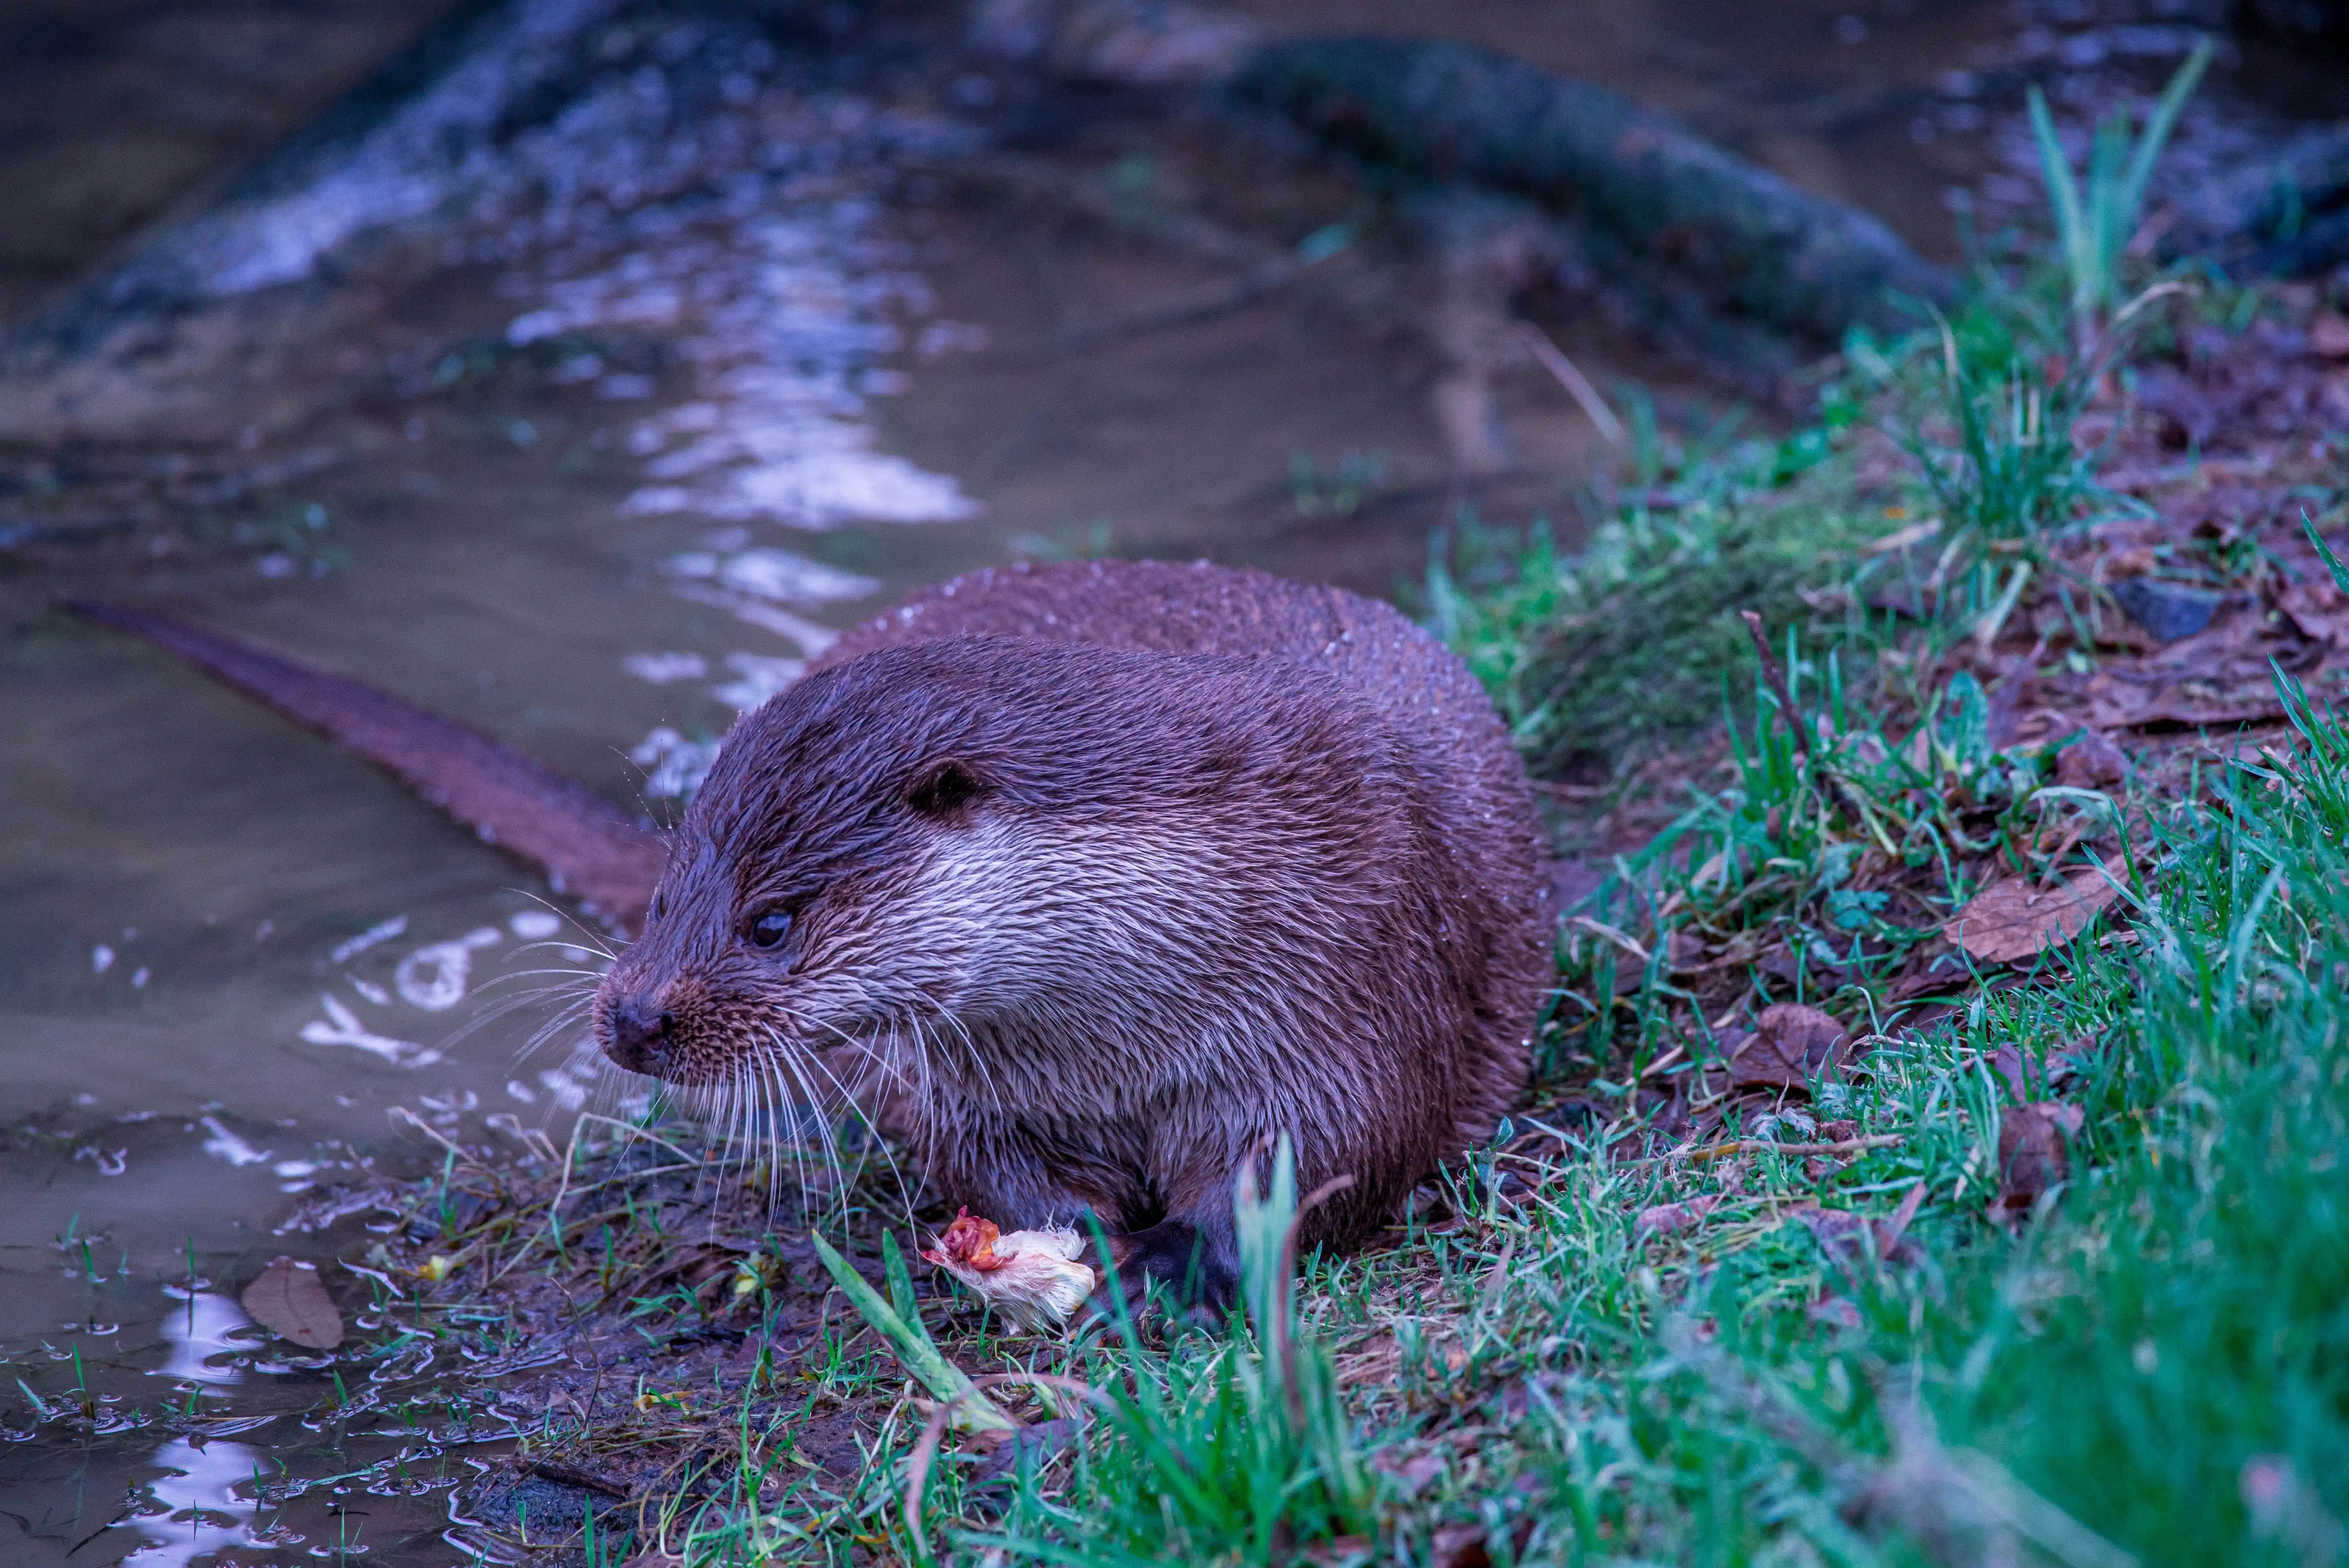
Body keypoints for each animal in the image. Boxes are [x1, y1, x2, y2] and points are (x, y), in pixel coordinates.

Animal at [73, 558, 1550, 1303]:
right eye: (668, 889)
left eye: (773, 919)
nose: (631, 1017)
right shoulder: (963, 1077)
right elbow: (982, 1159)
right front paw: (1062, 1238)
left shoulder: (1359, 969)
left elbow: (1330, 1150)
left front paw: (1179, 1265)